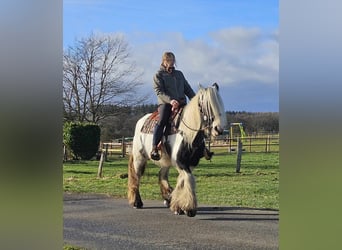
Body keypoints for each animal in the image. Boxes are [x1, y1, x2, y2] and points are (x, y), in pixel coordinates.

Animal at [127, 82, 226, 217]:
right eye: (206, 105)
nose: (218, 129)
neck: (187, 134)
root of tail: (141, 121)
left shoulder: (190, 163)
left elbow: (183, 180)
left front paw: (178, 205)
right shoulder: (180, 162)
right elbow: (189, 179)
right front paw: (189, 208)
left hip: (165, 161)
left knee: (162, 175)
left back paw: (168, 198)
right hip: (139, 158)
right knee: (136, 176)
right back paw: (137, 202)